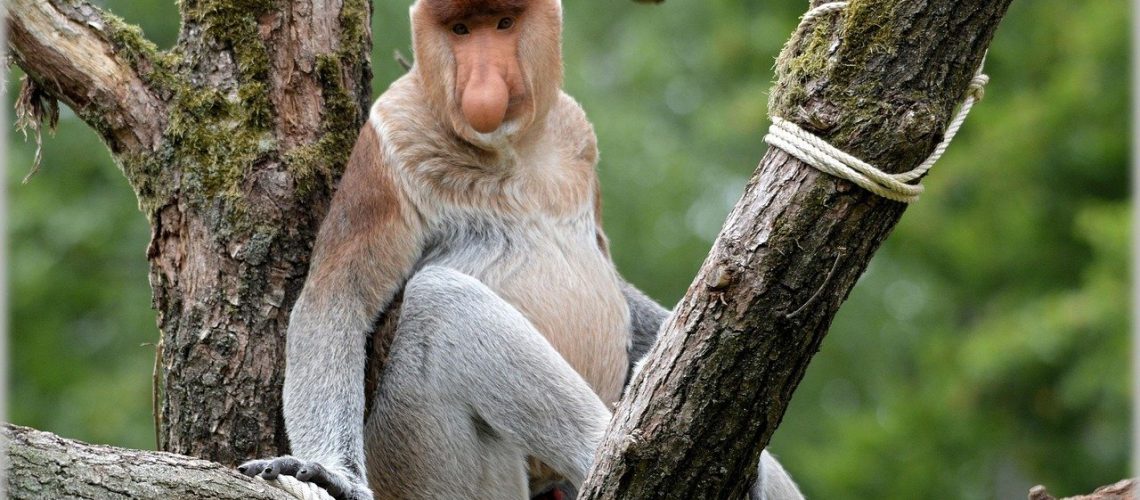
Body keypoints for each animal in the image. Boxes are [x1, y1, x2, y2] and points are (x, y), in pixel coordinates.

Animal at [238, 1, 803, 499]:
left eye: (504, 24)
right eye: (461, 30)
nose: (485, 83)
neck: (509, 149)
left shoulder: (576, 131)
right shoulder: (387, 146)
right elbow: (337, 302)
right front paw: (333, 477)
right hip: (420, 462)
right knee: (438, 303)